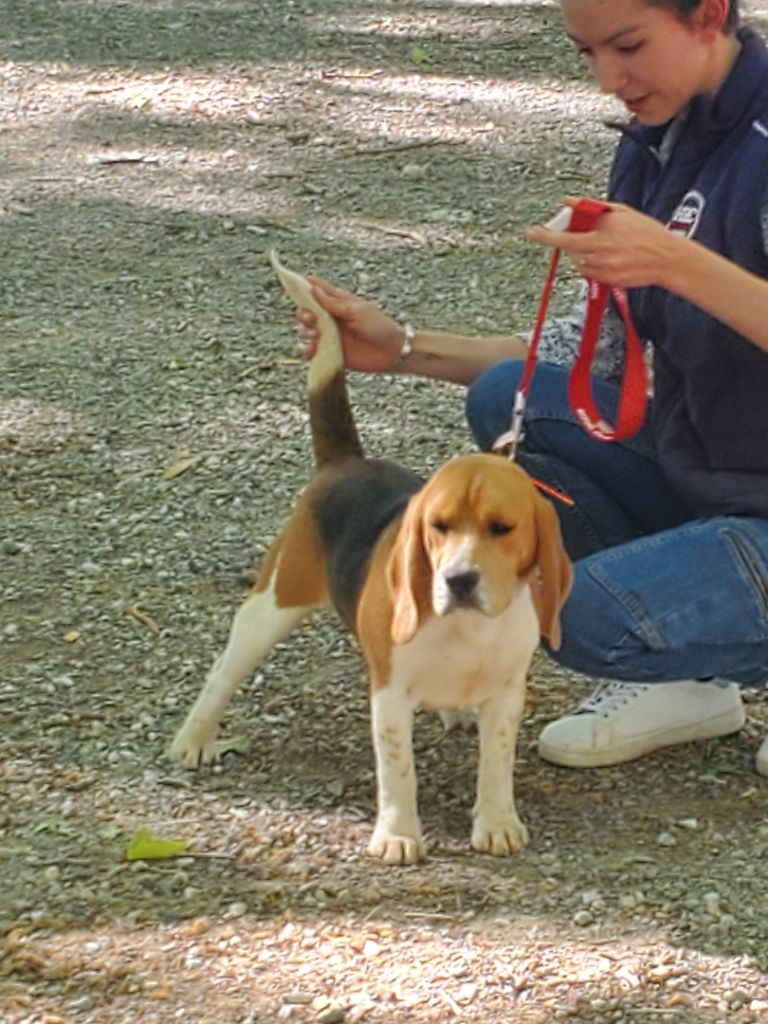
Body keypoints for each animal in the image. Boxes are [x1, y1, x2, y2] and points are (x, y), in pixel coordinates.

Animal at [173, 256, 573, 864]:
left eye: (503, 529)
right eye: (438, 526)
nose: (458, 580)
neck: (466, 632)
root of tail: (345, 463)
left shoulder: (507, 695)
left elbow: (496, 765)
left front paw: (497, 822)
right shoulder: (389, 695)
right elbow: (399, 770)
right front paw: (399, 835)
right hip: (272, 605)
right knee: (223, 673)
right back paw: (194, 738)